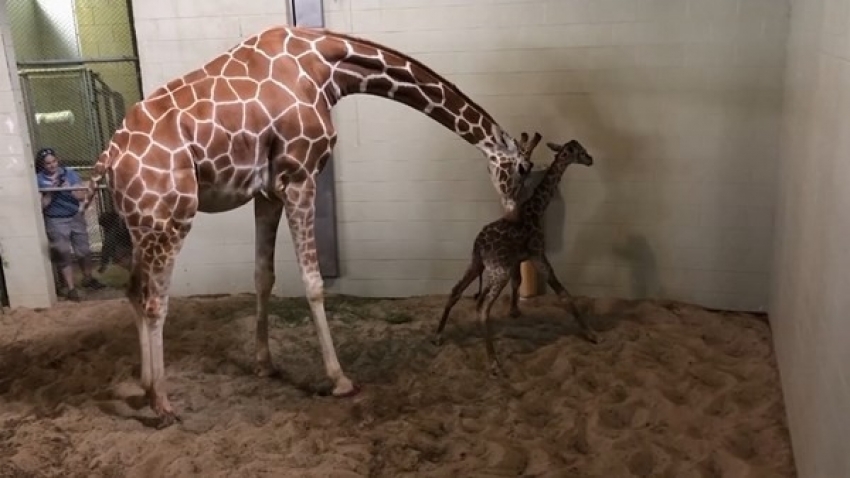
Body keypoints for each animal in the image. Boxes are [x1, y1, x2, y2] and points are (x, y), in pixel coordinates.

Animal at [81, 23, 536, 426]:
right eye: (522, 168)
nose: (513, 214)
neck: (329, 67)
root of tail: (109, 157)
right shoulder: (300, 176)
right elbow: (314, 282)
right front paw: (340, 379)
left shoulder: (267, 191)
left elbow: (263, 275)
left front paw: (265, 364)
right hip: (171, 217)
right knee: (155, 301)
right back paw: (162, 404)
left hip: (143, 223)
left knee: (133, 290)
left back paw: (144, 385)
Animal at [430, 137, 596, 374]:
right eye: (579, 151)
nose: (590, 159)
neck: (537, 208)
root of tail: (479, 243)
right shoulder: (538, 254)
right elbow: (563, 293)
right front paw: (591, 334)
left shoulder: (517, 259)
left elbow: (518, 282)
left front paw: (514, 312)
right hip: (498, 270)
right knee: (483, 307)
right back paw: (494, 363)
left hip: (477, 263)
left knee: (455, 291)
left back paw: (438, 336)